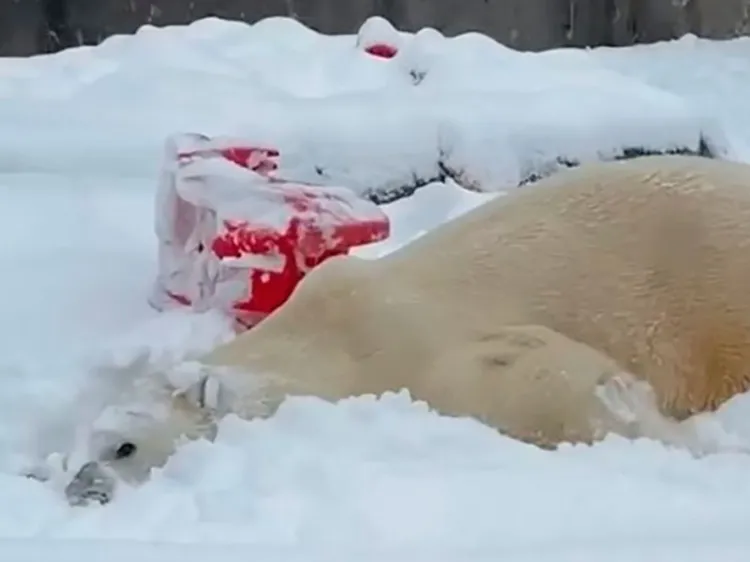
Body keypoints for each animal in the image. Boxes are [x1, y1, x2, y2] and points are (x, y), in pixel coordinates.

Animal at [61, 154, 750, 504]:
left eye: (123, 448)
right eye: (82, 444)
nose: (79, 487)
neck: (327, 339)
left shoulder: (415, 354)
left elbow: (545, 377)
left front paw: (675, 438)